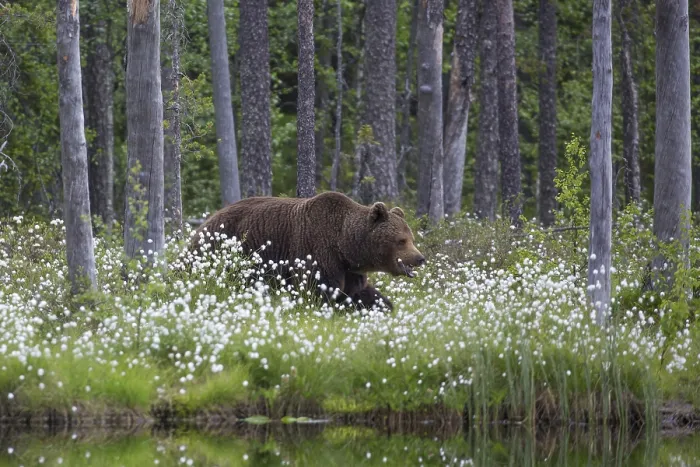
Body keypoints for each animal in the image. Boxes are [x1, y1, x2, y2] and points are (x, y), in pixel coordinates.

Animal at [189, 191, 426, 311]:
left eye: (412, 238)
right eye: (401, 241)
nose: (420, 258)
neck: (344, 245)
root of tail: (203, 224)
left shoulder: (350, 270)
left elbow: (358, 292)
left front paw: (383, 305)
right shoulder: (317, 250)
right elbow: (319, 289)